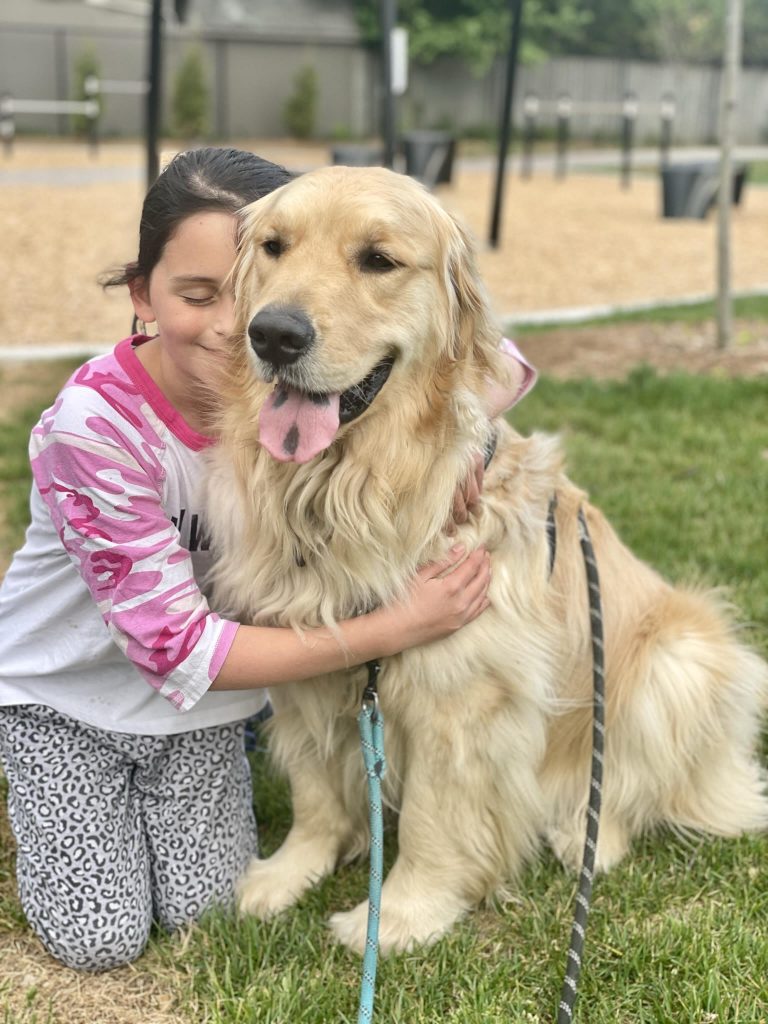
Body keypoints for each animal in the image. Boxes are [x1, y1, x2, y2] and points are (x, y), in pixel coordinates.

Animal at [202, 163, 768, 954]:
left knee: (623, 782)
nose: (274, 334)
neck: (353, 489)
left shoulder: (462, 700)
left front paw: (400, 916)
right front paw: (290, 872)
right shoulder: (306, 662)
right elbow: (316, 793)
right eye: (275, 247)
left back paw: (586, 837)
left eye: (378, 260)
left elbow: (435, 820)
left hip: (677, 663)